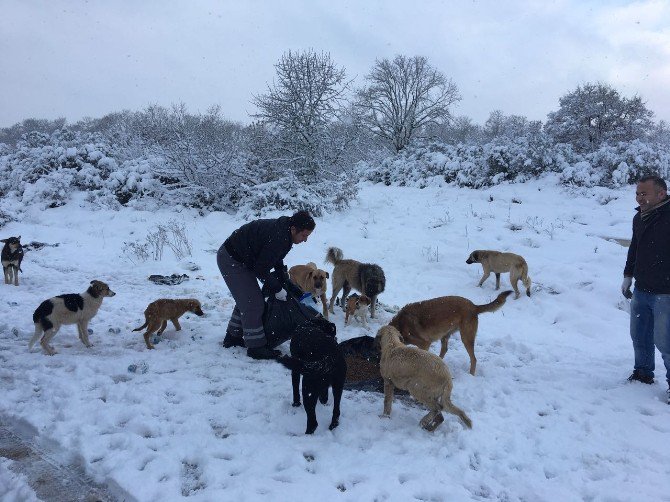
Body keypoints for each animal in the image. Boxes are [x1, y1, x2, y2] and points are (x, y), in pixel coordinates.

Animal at [388, 290, 516, 372]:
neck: (400, 325)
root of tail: (474, 306)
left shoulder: (424, 344)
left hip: (466, 338)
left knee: (474, 359)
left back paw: (471, 375)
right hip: (446, 335)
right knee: (444, 350)